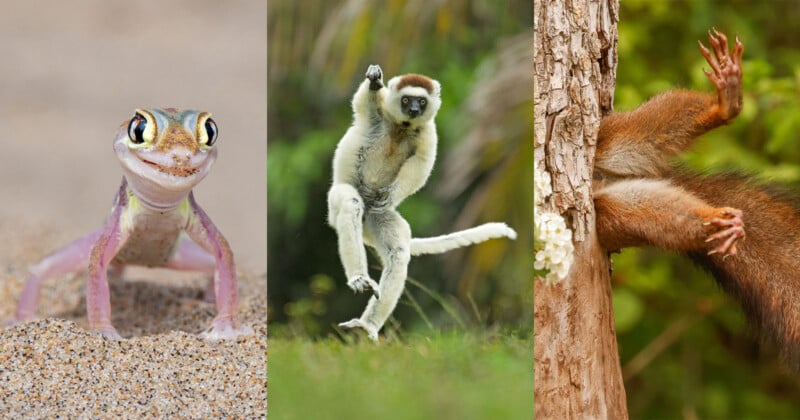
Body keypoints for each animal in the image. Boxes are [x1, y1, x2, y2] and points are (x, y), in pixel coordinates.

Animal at [592, 30, 800, 370]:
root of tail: (603, 181)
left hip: (611, 137)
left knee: (653, 121)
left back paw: (725, 101)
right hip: (614, 215)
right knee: (664, 218)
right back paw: (717, 224)